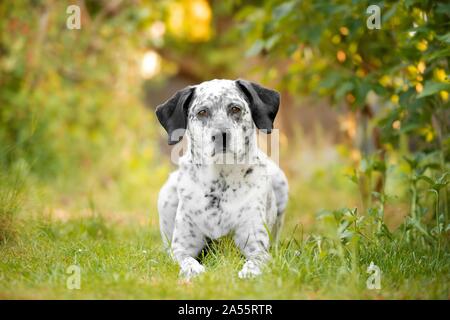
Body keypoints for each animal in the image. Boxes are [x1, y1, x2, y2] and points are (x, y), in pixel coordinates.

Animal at [155, 79, 288, 278]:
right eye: (202, 112)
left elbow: (255, 260)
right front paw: (193, 269)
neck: (219, 183)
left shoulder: (256, 245)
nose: (221, 135)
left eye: (235, 109)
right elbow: (186, 259)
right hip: (166, 195)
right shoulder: (182, 247)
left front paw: (249, 272)